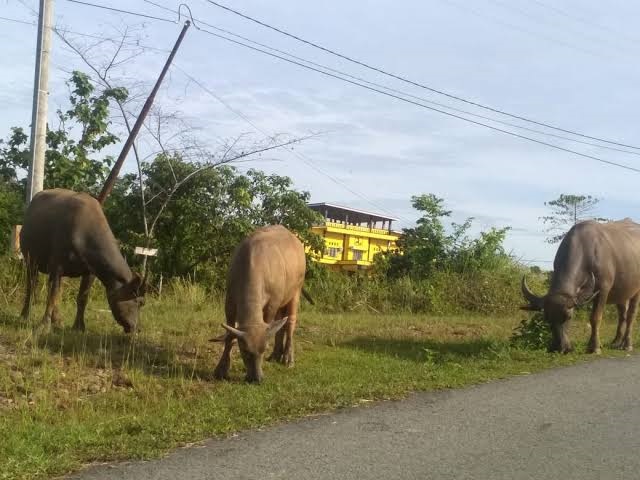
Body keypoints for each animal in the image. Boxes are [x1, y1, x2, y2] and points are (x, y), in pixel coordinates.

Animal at [20, 188, 146, 334]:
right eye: (140, 302)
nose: (137, 328)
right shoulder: (56, 267)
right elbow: (52, 296)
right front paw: (44, 325)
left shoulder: (90, 272)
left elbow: (82, 298)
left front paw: (79, 326)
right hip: (31, 261)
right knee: (31, 286)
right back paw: (25, 315)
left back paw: (57, 320)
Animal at [212, 223, 308, 384]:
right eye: (245, 351)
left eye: (263, 350)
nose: (256, 378)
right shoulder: (229, 301)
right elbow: (230, 334)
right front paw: (221, 369)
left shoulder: (272, 303)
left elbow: (269, 323)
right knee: (280, 323)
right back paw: (275, 355)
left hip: (295, 291)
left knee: (290, 322)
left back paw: (288, 358)